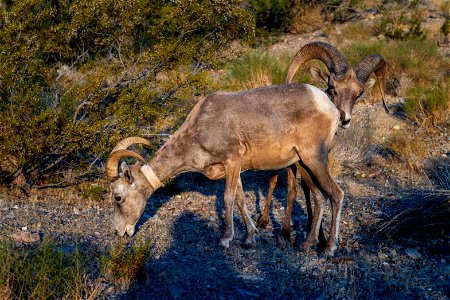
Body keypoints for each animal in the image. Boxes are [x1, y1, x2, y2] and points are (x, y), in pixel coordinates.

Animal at [258, 41, 388, 253]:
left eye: (358, 94)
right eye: (332, 86)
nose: (344, 118)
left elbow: (311, 192)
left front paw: (318, 236)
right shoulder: (299, 163)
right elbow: (296, 192)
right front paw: (289, 234)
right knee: (274, 181)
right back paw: (264, 222)